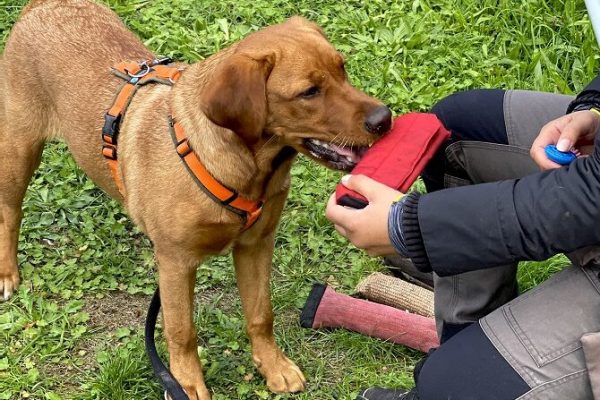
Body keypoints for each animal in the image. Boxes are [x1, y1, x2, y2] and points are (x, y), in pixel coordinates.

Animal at [0, 1, 392, 398]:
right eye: (309, 92)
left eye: (342, 69)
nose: (384, 118)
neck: (248, 170)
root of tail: (44, 6)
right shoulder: (176, 262)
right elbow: (181, 331)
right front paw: (185, 385)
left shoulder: (255, 244)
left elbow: (260, 313)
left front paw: (273, 365)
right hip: (19, 148)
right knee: (9, 211)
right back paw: (7, 272)